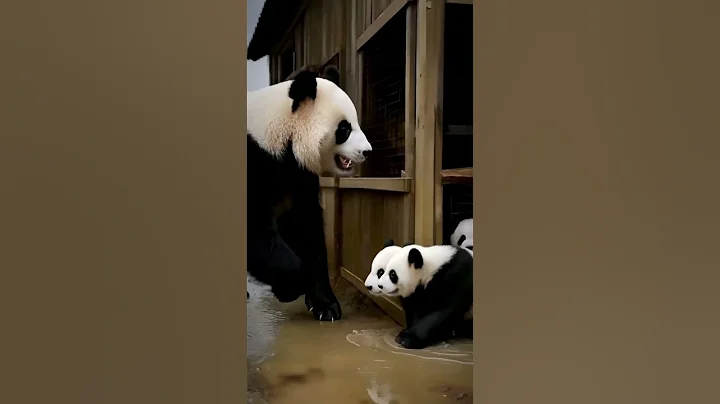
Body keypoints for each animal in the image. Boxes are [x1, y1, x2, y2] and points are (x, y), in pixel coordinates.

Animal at [247, 70, 372, 322]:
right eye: (344, 128)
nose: (367, 151)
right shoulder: (254, 161)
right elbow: (254, 229)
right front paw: (288, 288)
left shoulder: (296, 172)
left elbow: (305, 227)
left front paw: (325, 304)